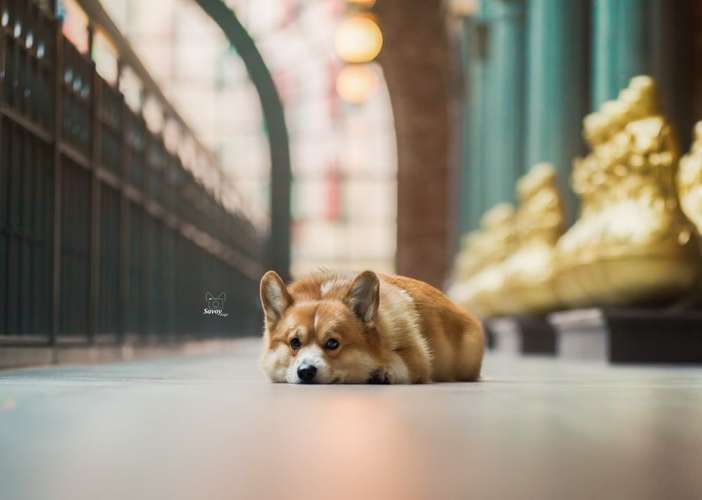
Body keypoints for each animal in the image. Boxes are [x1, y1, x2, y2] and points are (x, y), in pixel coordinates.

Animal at [258, 270, 484, 382]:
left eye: (333, 343)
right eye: (294, 343)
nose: (305, 372)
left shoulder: (418, 355)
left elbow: (402, 361)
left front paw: (384, 371)